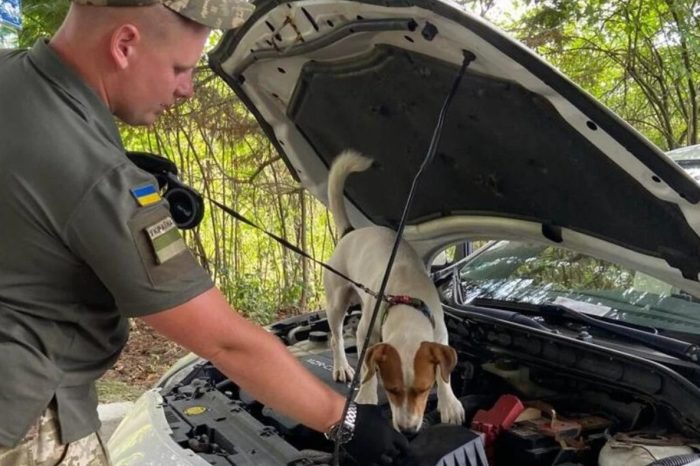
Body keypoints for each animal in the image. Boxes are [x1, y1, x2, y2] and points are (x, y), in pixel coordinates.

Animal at [324, 151, 464, 436]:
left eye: (425, 389)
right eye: (391, 390)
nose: (408, 430)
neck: (405, 301)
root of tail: (350, 232)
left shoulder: (440, 333)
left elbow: (445, 374)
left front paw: (449, 403)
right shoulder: (366, 331)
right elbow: (367, 368)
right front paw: (366, 395)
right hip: (337, 301)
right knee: (336, 337)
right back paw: (342, 366)